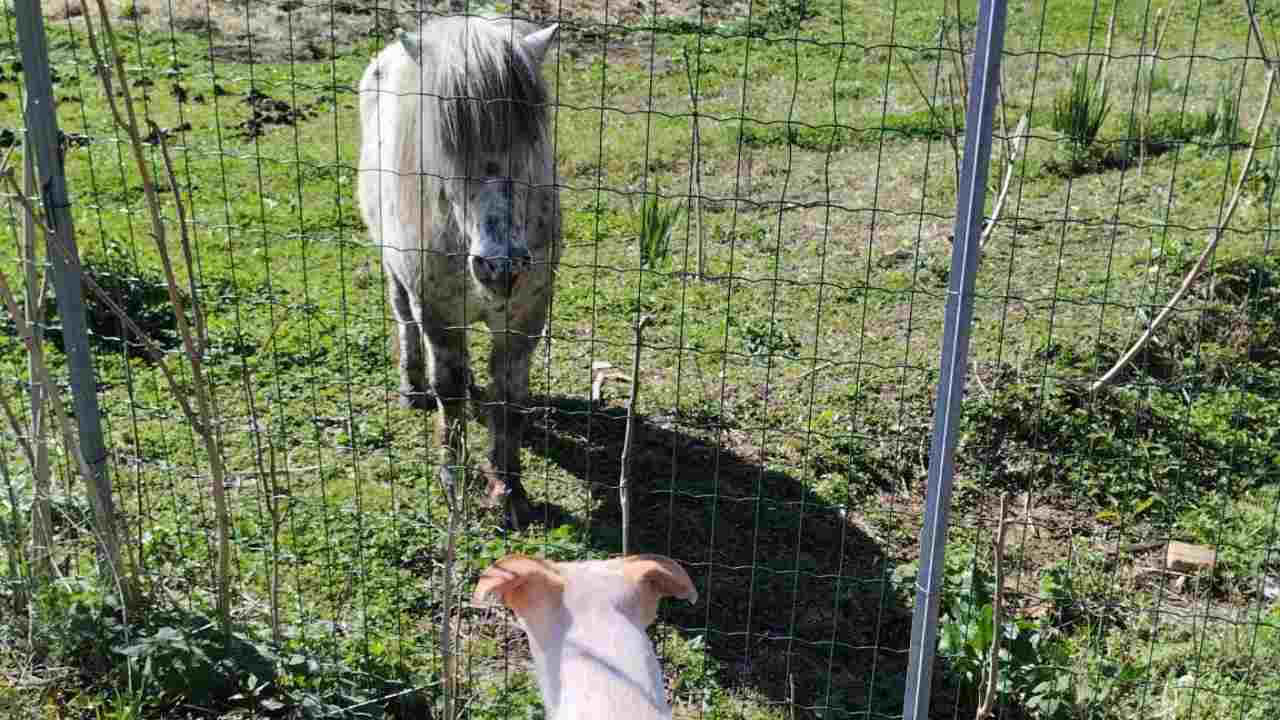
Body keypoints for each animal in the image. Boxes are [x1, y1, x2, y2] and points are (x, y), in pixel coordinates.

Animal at [358, 14, 563, 525]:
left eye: (532, 140)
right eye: (448, 148)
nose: (499, 267)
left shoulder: (524, 319)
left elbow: (509, 400)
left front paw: (510, 492)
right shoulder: (439, 313)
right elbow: (447, 391)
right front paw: (454, 483)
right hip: (396, 275)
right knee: (404, 320)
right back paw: (411, 387)